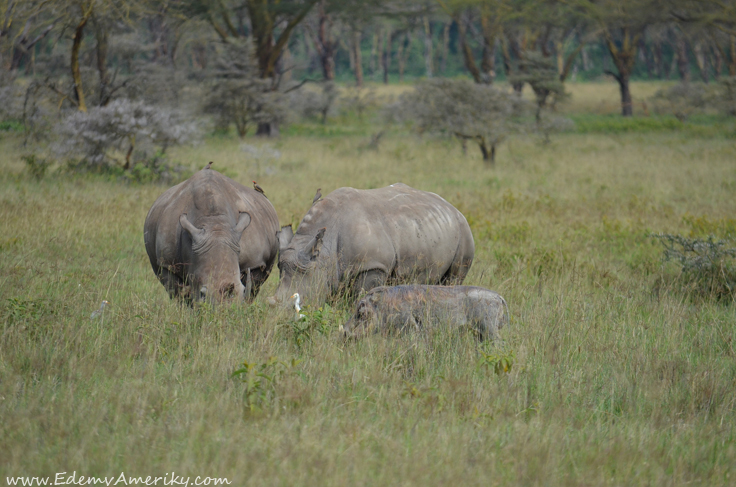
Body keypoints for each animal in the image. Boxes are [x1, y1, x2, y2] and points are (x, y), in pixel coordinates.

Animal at [144, 170, 278, 304]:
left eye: (243, 290)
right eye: (202, 293)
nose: (224, 307)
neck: (214, 223)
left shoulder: (255, 262)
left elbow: (251, 290)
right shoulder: (166, 263)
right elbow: (178, 294)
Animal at [274, 183, 474, 304]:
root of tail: (451, 207)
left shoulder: (373, 266)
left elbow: (360, 297)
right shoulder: (331, 271)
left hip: (464, 231)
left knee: (454, 278)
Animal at [342, 284, 508, 342]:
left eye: (362, 308)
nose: (342, 335)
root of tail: (499, 297)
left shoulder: (409, 329)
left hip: (490, 329)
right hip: (481, 333)